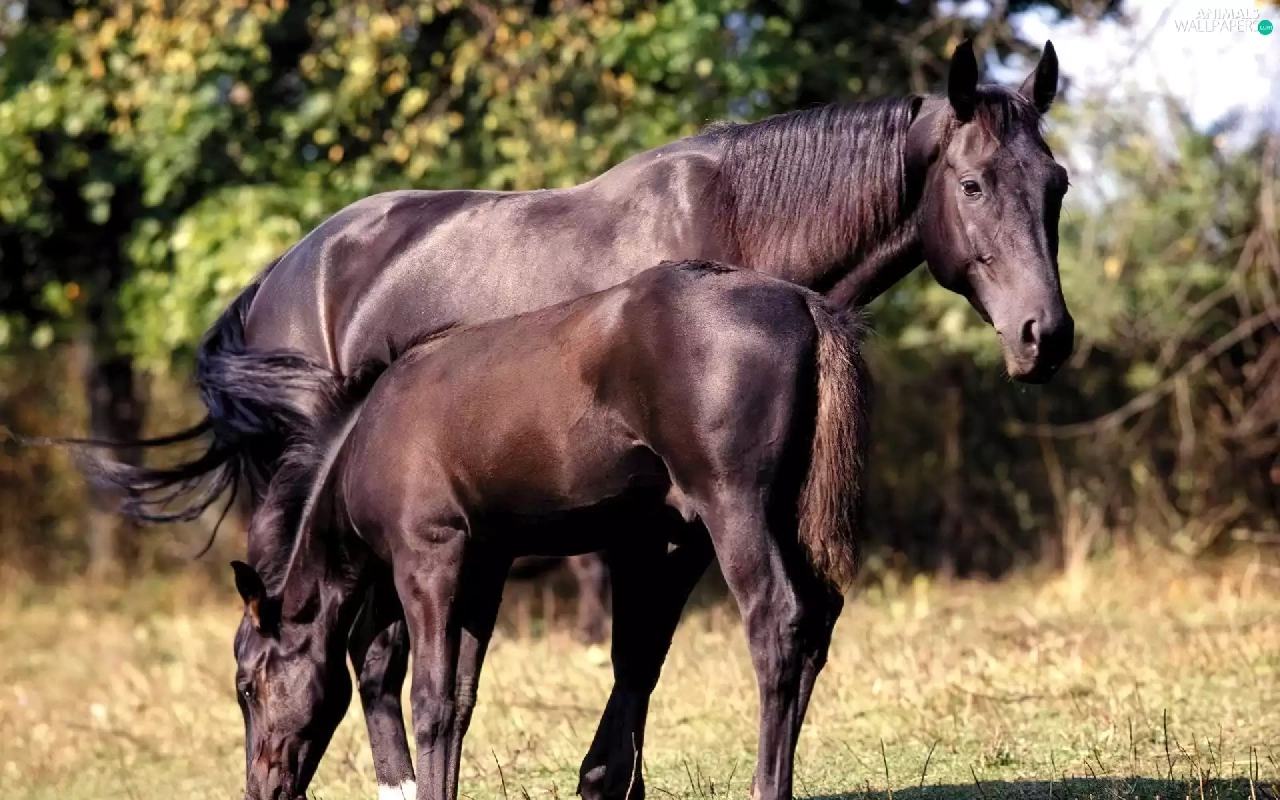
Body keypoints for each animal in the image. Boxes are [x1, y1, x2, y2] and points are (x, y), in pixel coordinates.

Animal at [229, 261, 871, 800]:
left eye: (247, 685)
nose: (259, 790)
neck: (366, 436)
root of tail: (804, 304)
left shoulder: (429, 559)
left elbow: (430, 699)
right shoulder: (483, 568)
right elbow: (459, 701)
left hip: (734, 507)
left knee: (777, 622)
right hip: (784, 515)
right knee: (818, 618)